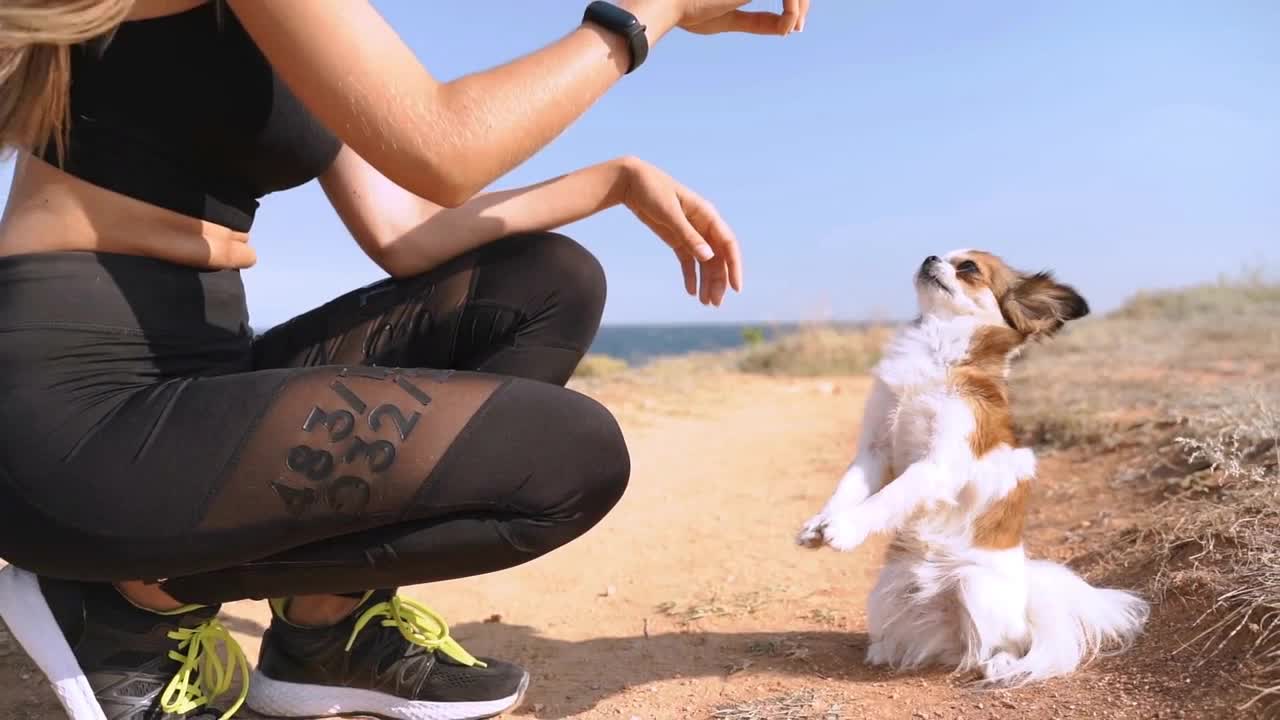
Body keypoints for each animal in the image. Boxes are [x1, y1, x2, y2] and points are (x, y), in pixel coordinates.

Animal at [798, 251, 1152, 681]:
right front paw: (819, 524)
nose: (929, 256)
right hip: (884, 593)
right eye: (940, 254)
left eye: (968, 268)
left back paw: (997, 663)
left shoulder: (936, 466)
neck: (937, 349)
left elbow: (888, 498)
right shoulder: (874, 451)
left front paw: (845, 529)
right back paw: (887, 650)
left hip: (974, 585)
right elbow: (847, 489)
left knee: (1006, 643)